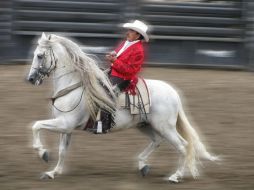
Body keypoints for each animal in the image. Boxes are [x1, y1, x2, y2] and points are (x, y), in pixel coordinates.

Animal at [27, 33, 218, 183]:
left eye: (40, 55)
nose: (31, 79)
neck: (74, 86)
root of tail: (173, 93)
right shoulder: (66, 127)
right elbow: (62, 151)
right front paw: (53, 172)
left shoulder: (64, 123)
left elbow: (36, 126)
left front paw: (42, 153)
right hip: (145, 125)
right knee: (157, 141)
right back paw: (143, 165)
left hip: (165, 127)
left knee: (183, 146)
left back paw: (175, 176)